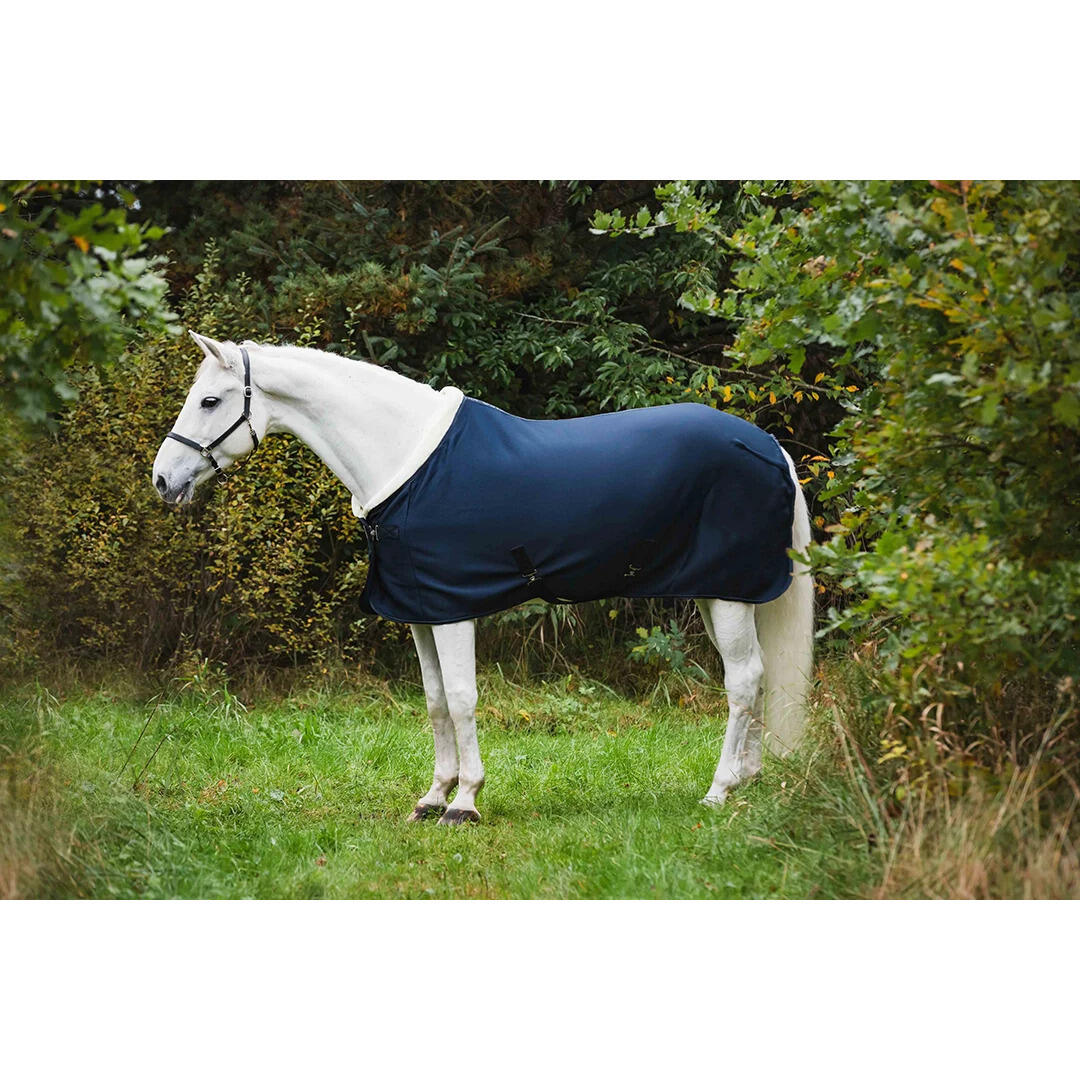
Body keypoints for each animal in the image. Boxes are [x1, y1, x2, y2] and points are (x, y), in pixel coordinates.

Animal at [152, 332, 814, 825]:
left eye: (209, 401)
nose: (163, 479)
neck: (404, 457)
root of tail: (768, 446)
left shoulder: (451, 608)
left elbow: (464, 698)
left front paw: (465, 802)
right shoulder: (419, 610)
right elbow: (435, 701)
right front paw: (432, 796)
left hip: (728, 592)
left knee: (743, 681)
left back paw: (719, 790)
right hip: (715, 591)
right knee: (757, 677)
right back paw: (748, 779)